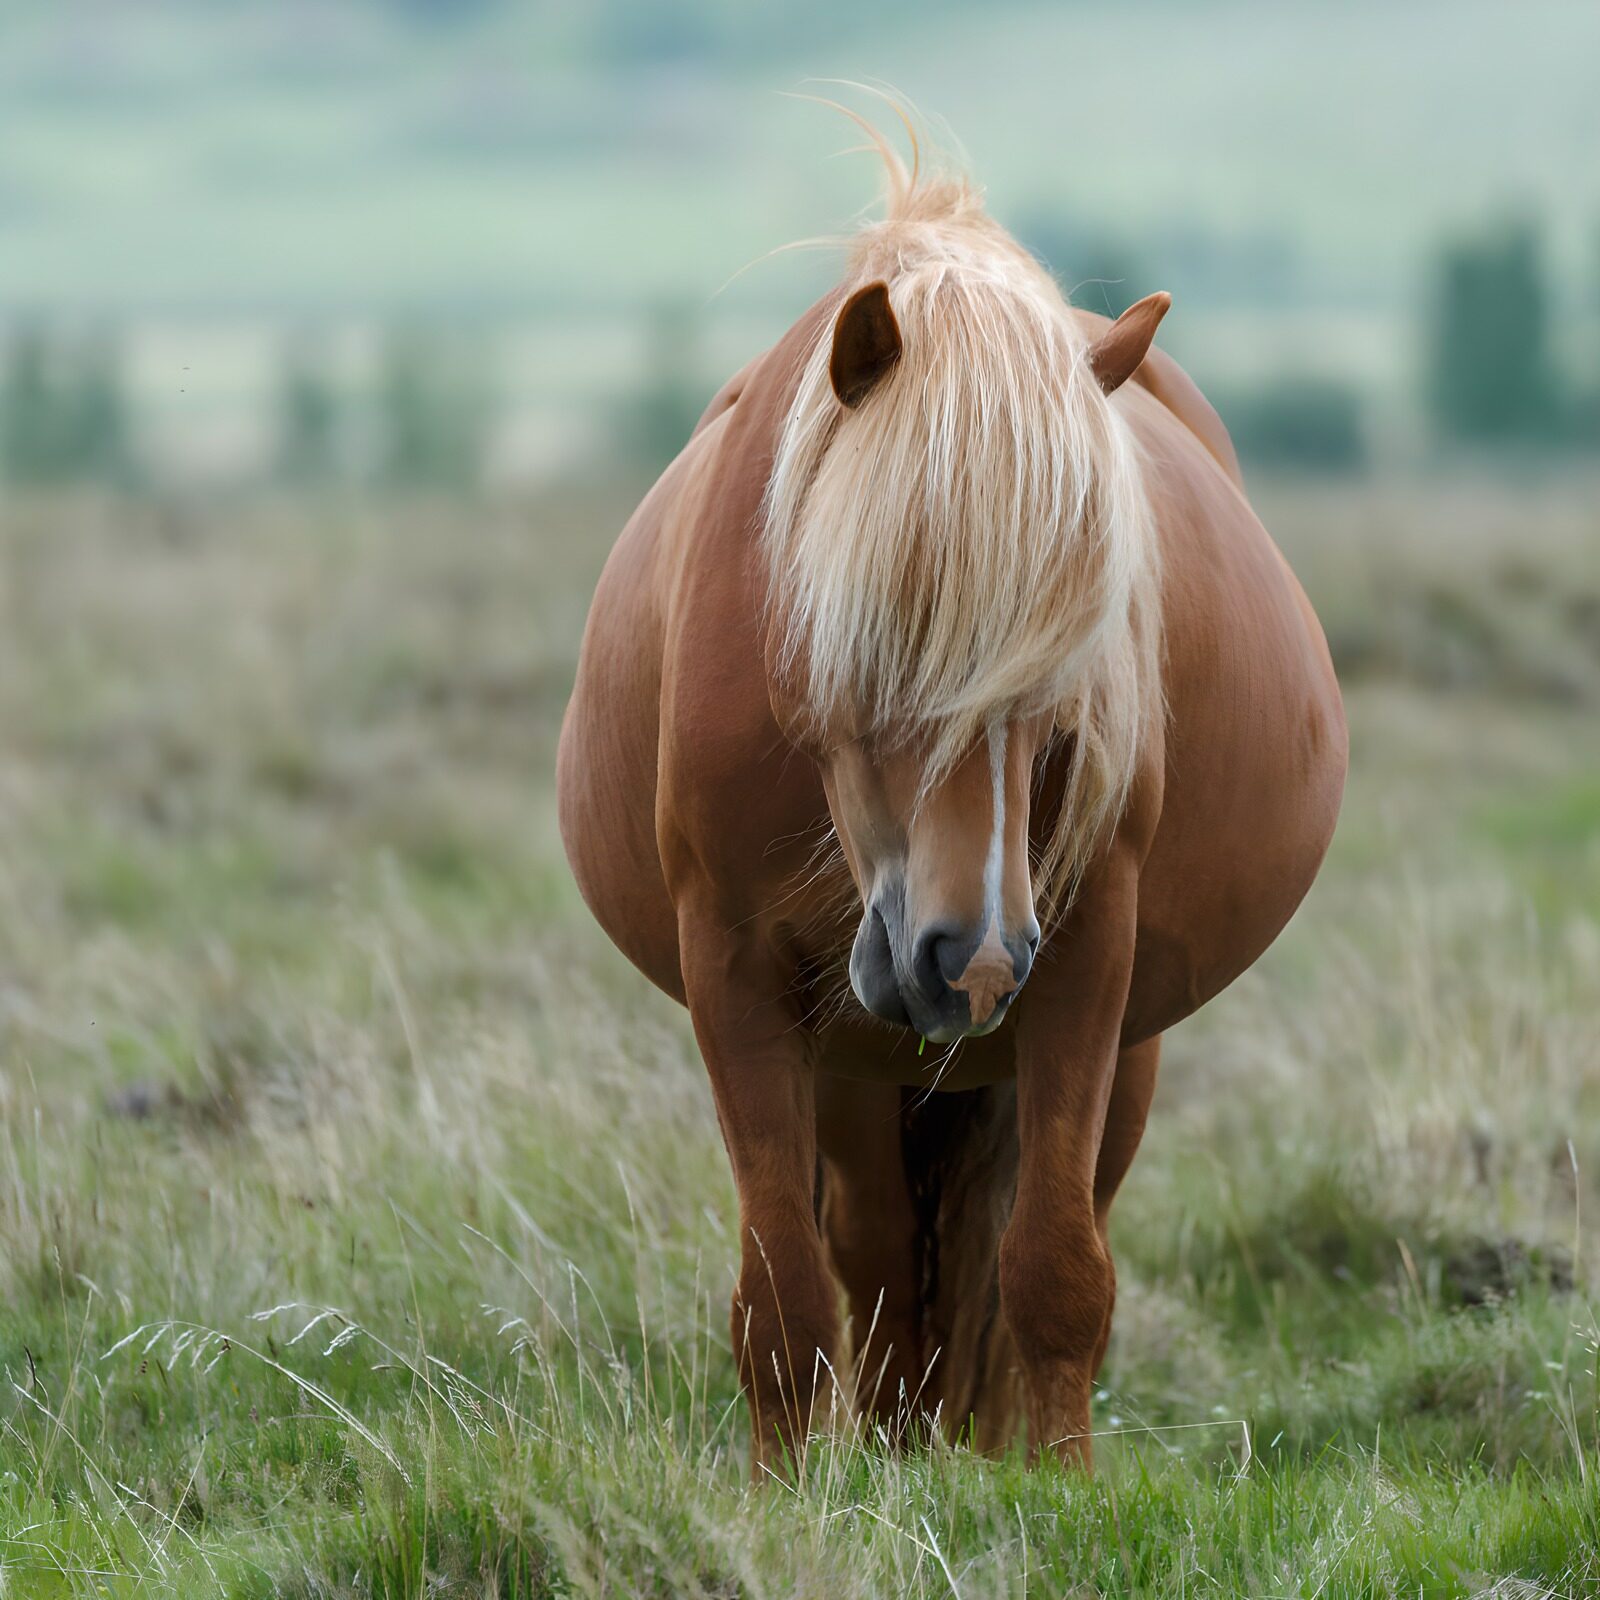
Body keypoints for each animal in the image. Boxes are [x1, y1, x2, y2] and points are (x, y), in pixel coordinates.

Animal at [557, 132, 1346, 1476]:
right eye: (868, 648)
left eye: (1064, 688)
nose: (966, 961)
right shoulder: (735, 974)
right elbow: (785, 1294)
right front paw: (785, 1496)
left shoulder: (1084, 962)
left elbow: (1053, 1271)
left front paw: (1062, 1485)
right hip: (851, 1064)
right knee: (875, 1258)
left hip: (1108, 1044)